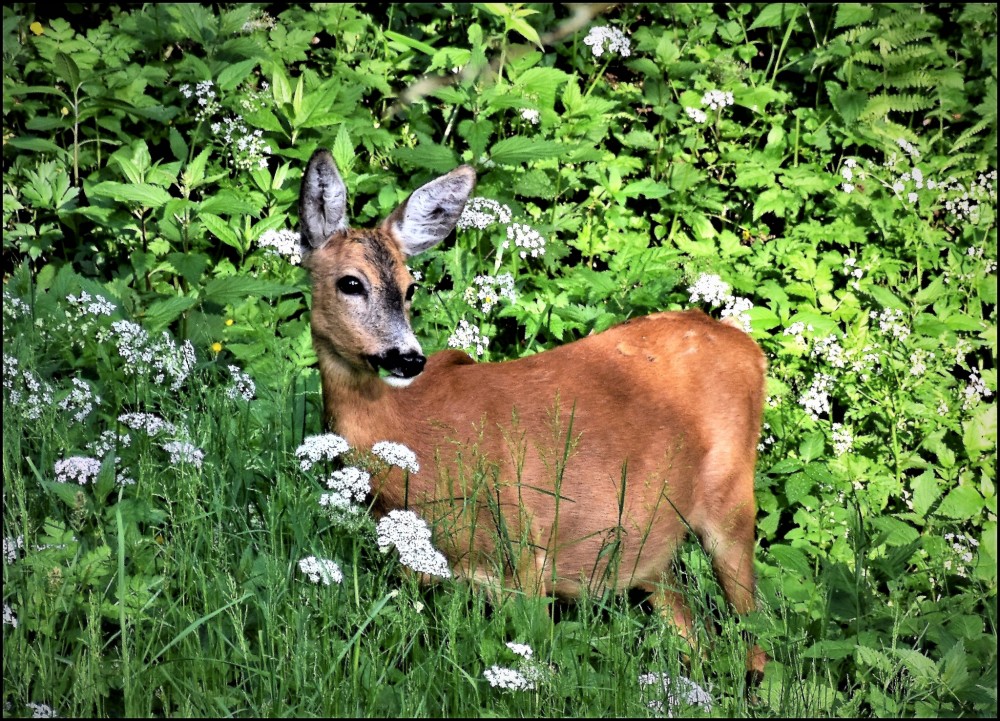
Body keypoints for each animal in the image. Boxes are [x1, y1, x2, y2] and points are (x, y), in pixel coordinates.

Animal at [300, 148, 768, 676]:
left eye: (410, 286)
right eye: (350, 283)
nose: (409, 358)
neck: (411, 438)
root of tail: (751, 350)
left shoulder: (526, 554)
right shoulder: (415, 567)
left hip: (731, 501)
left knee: (755, 633)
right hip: (653, 553)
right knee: (696, 632)